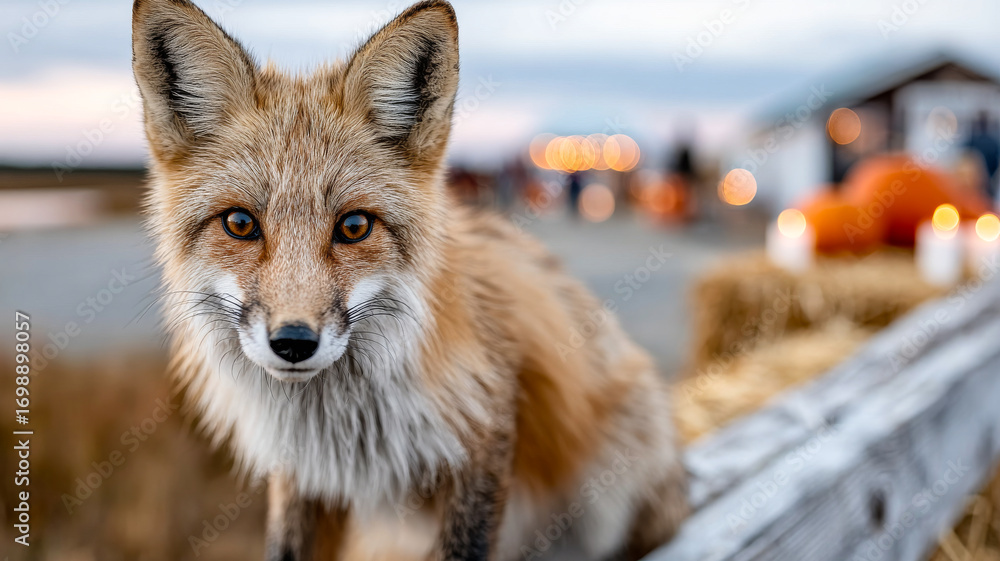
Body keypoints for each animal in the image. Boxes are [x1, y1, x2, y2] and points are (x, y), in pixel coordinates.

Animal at [132, 0, 688, 559]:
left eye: (355, 227)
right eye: (240, 224)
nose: (293, 342)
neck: (339, 423)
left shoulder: (486, 434)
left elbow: (464, 545)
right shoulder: (301, 471)